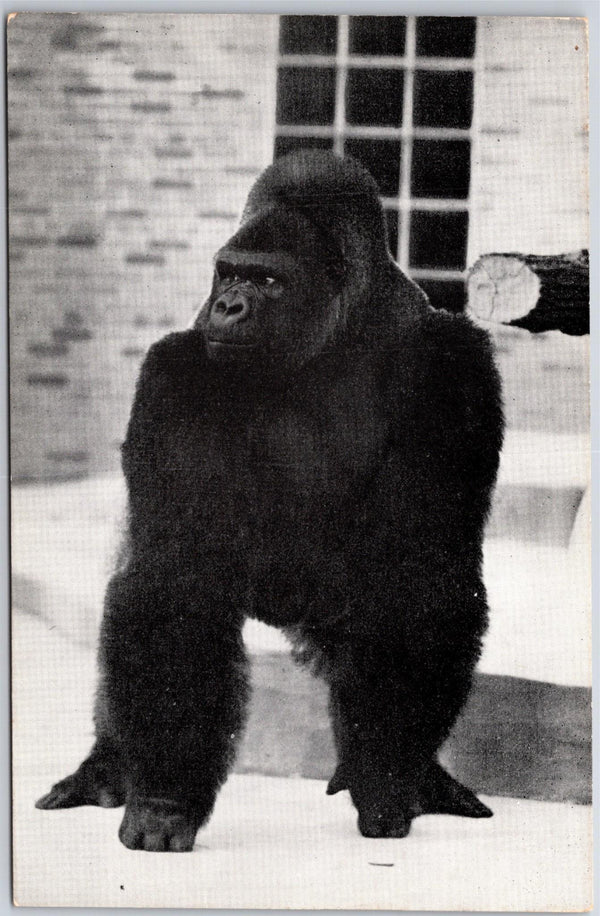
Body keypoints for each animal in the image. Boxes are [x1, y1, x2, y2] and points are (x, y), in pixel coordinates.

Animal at [37, 150, 504, 851]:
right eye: (228, 274)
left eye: (266, 279)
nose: (228, 306)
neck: (336, 336)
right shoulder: (177, 370)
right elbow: (174, 576)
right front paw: (166, 798)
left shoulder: (455, 366)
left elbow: (422, 570)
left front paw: (386, 776)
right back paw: (107, 764)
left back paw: (423, 774)